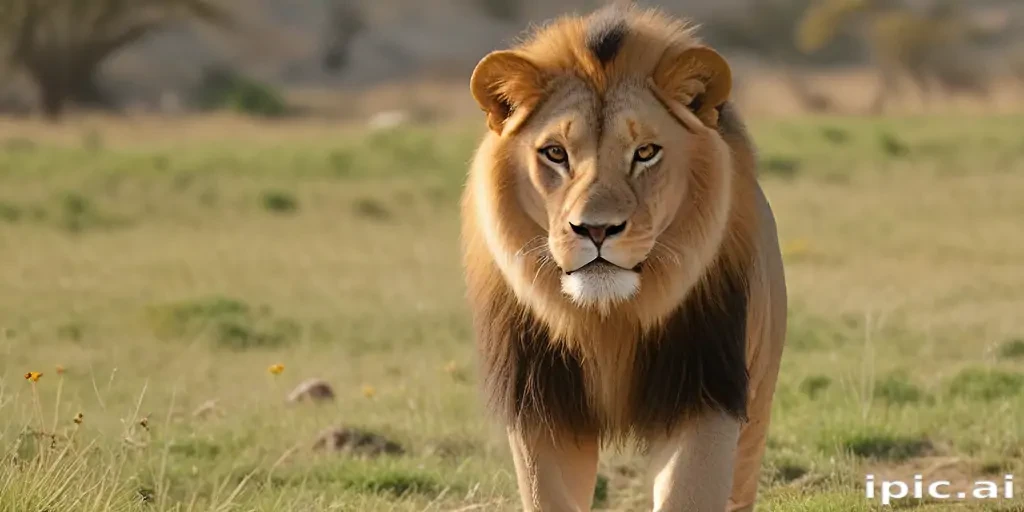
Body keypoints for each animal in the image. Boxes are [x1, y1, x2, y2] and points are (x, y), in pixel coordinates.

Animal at [460, 4, 787, 511]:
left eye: (646, 152)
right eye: (555, 153)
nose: (596, 229)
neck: (607, 320)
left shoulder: (705, 388)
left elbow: (689, 493)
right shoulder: (541, 403)